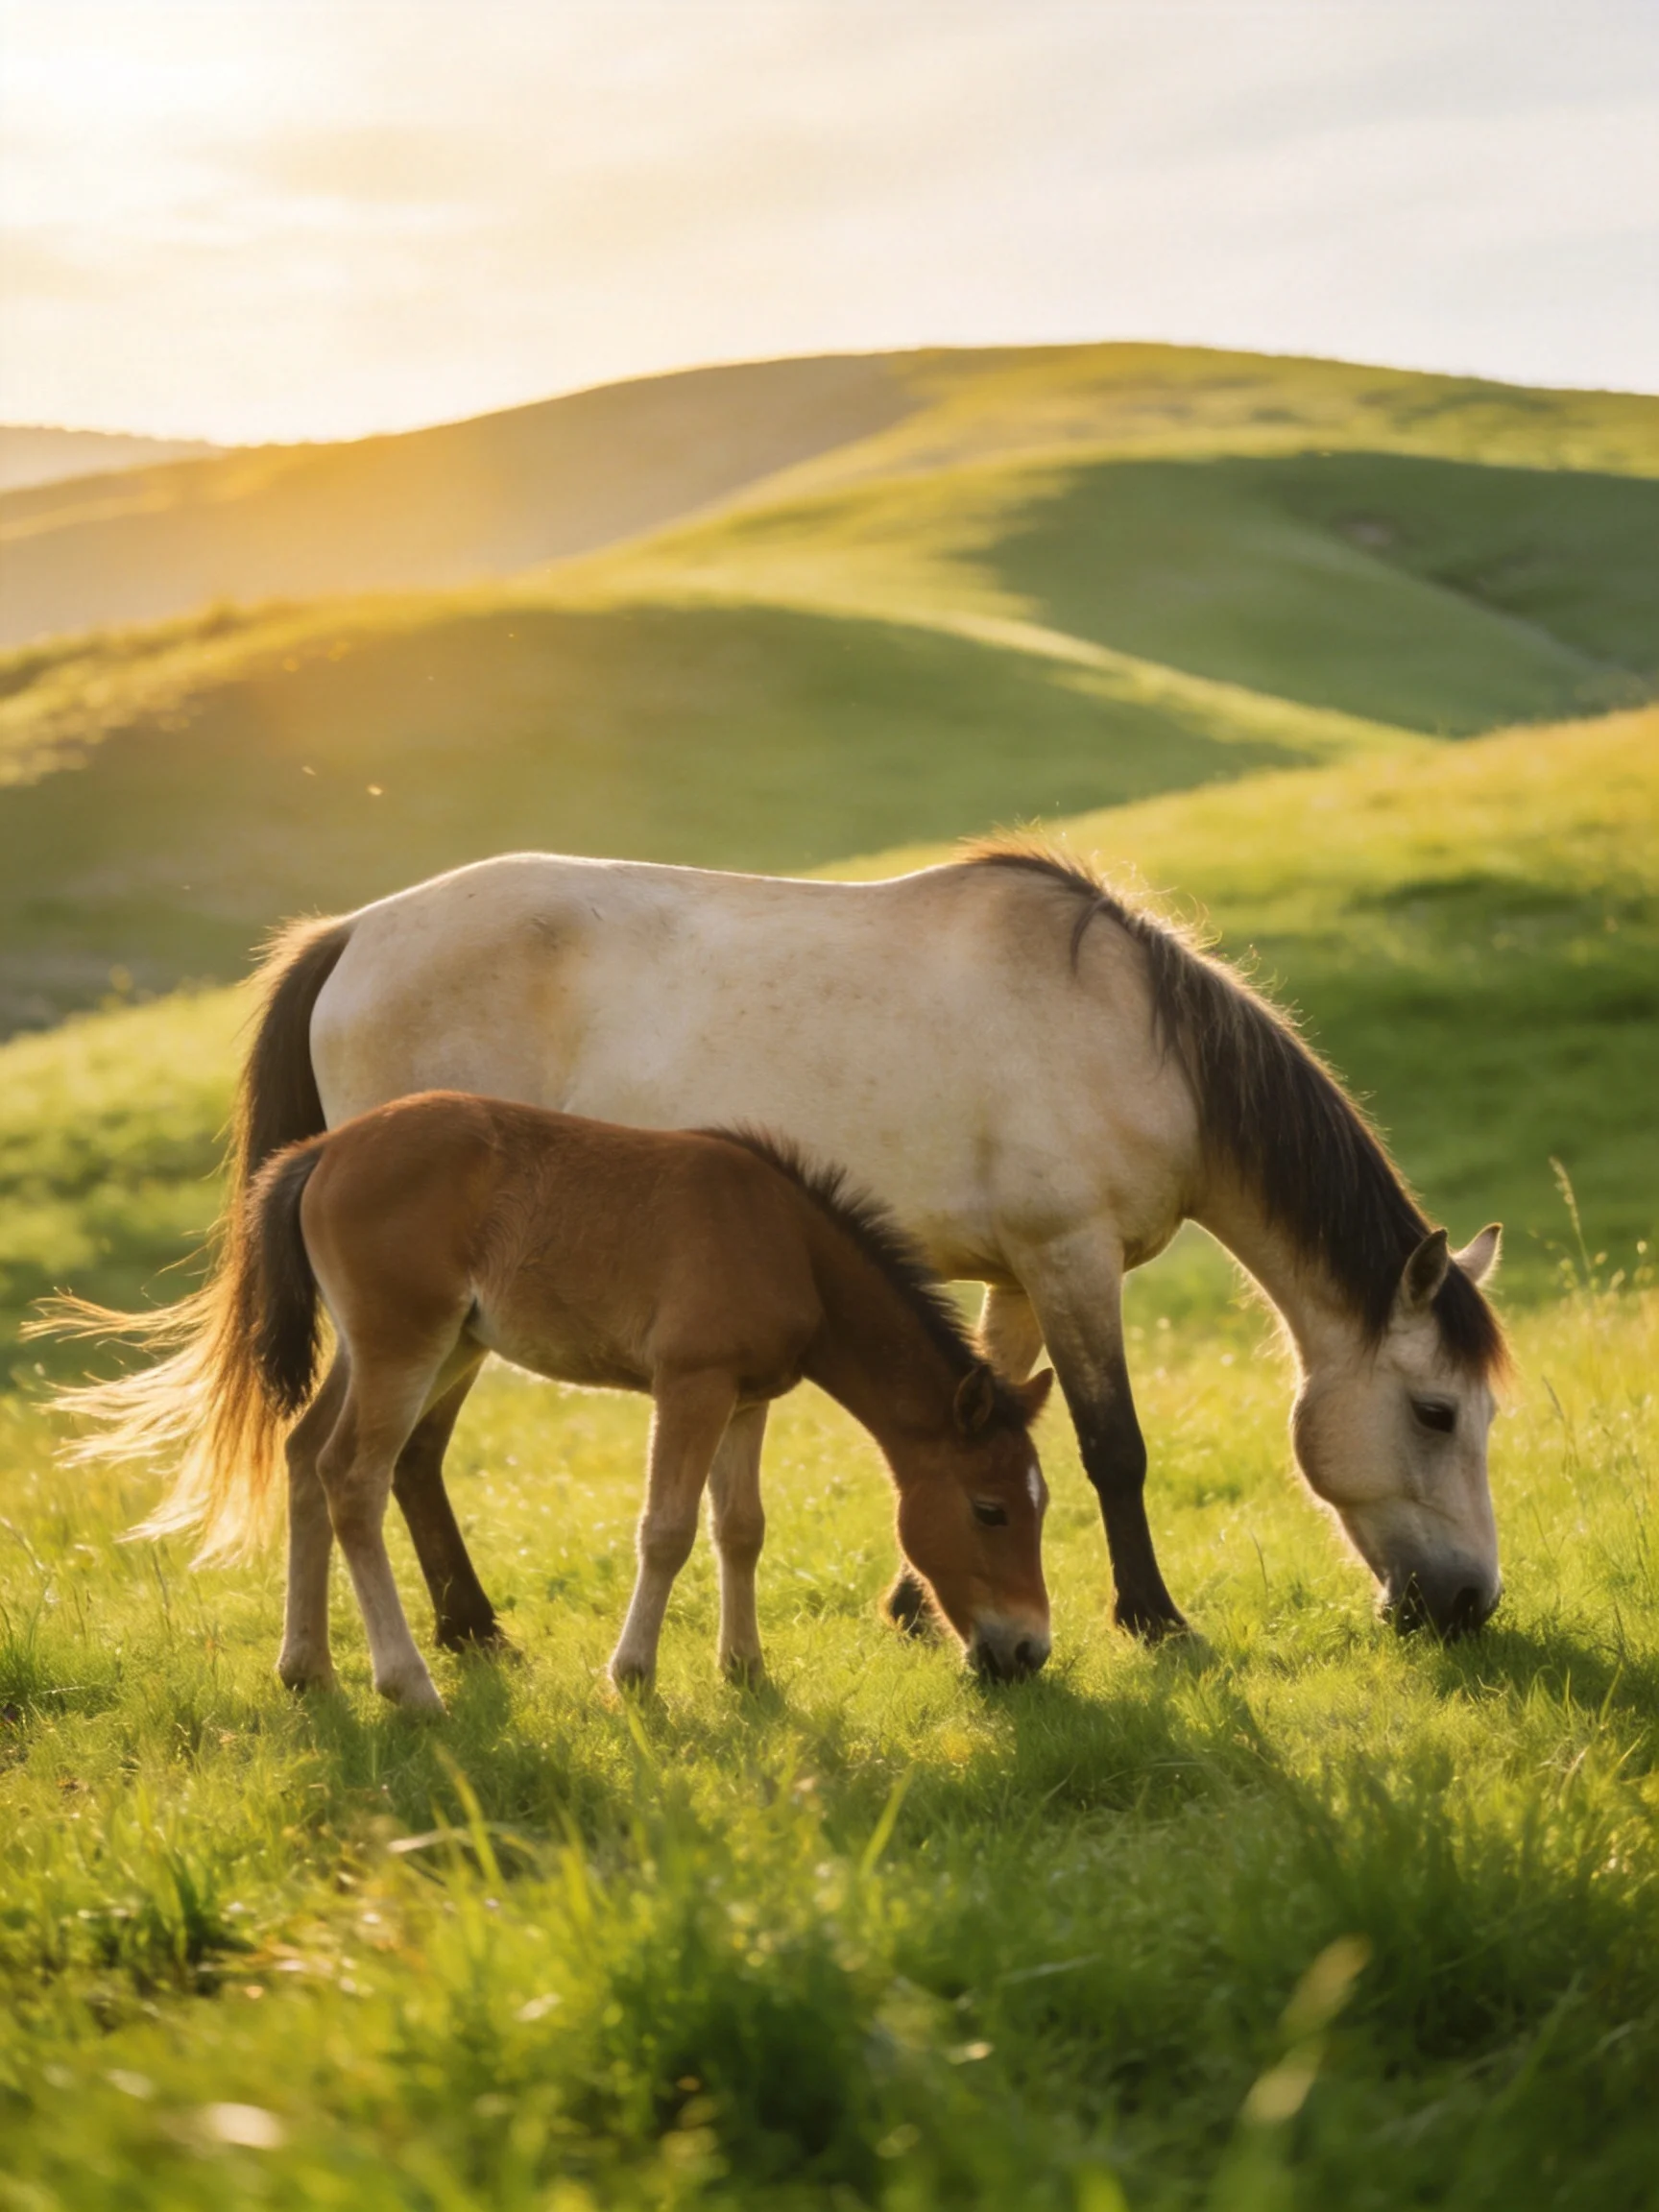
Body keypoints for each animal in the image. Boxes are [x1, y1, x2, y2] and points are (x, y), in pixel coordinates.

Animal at [52, 842, 1507, 1645]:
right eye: (1435, 1412)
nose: (1471, 1606)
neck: (1126, 1035)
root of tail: (351, 935)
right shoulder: (1073, 1260)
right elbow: (1114, 1448)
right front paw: (1150, 1619)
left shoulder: (1016, 1276)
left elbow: (995, 1417)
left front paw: (920, 1608)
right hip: (425, 1320)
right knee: (397, 1457)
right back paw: (463, 1637)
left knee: (401, 1460)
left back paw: (469, 1635)